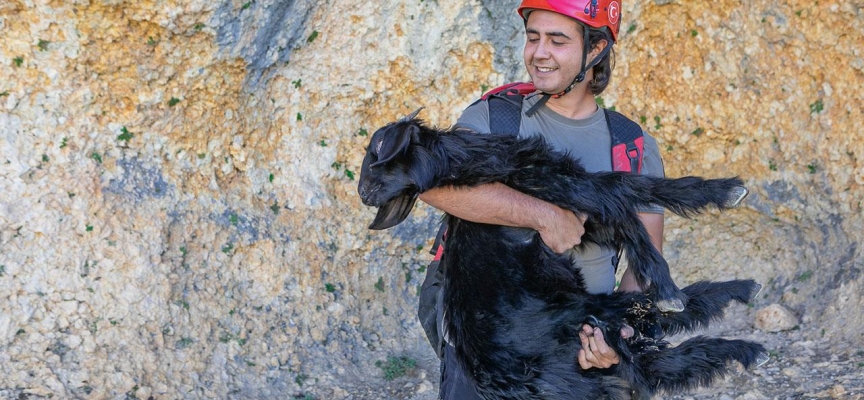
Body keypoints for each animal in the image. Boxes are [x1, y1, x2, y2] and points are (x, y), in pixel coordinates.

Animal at [358, 108, 768, 398]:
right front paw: (667, 282)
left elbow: (643, 186)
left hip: (593, 315)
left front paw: (722, 191)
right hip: (586, 317)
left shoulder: (582, 208)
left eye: (375, 153)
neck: (467, 165)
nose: (362, 193)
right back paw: (742, 344)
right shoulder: (574, 194)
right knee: (652, 358)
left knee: (650, 334)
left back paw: (738, 290)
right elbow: (630, 202)